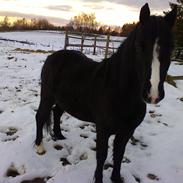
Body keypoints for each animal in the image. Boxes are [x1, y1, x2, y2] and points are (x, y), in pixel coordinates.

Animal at [34, 3, 176, 183]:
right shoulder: (103, 130)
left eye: (171, 48)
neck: (119, 92)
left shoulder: (126, 131)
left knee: (57, 113)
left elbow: (119, 155)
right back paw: (39, 146)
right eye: (139, 46)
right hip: (47, 95)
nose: (153, 93)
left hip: (63, 100)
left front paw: (116, 178)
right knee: (40, 115)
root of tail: (53, 56)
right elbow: (102, 156)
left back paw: (59, 136)